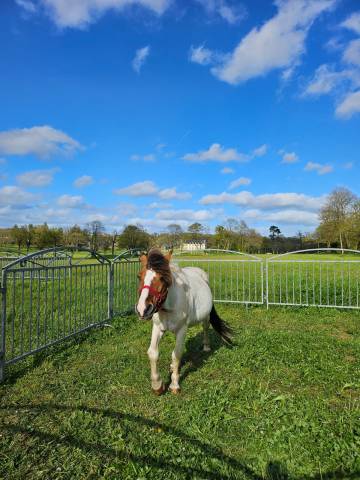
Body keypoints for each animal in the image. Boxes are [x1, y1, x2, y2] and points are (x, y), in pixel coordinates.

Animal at [136, 248, 233, 394]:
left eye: (163, 278)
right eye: (139, 276)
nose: (143, 309)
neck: (169, 305)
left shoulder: (182, 330)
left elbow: (176, 354)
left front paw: (174, 385)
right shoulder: (157, 327)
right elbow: (153, 353)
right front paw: (157, 385)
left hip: (205, 317)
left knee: (205, 327)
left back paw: (206, 347)